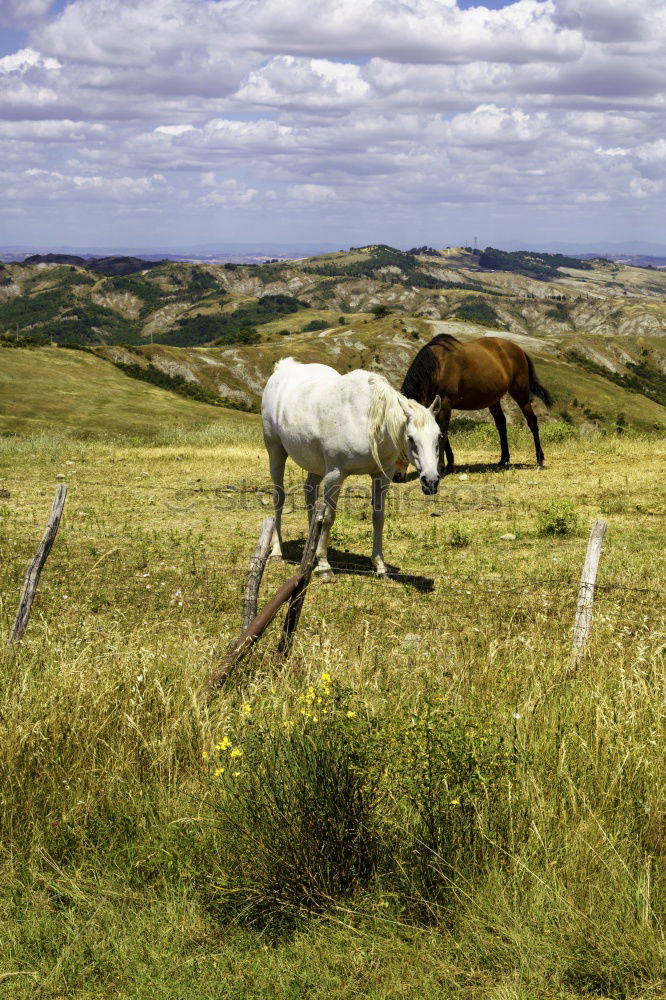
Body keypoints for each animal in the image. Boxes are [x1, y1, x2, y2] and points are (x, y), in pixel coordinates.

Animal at [260, 358, 440, 580]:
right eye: (411, 438)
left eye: (439, 437)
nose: (431, 481)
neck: (366, 420)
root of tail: (283, 368)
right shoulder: (335, 475)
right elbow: (328, 518)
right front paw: (324, 566)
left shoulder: (382, 476)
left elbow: (378, 518)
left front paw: (380, 566)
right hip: (276, 452)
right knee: (279, 497)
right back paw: (277, 551)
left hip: (316, 467)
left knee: (310, 492)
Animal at [392, 334, 552, 478]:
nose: (396, 476)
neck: (438, 367)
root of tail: (519, 350)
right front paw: (450, 464)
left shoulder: (446, 403)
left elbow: (443, 433)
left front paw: (441, 467)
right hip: (494, 400)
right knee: (501, 424)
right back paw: (503, 460)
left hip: (520, 393)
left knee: (532, 421)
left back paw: (539, 460)